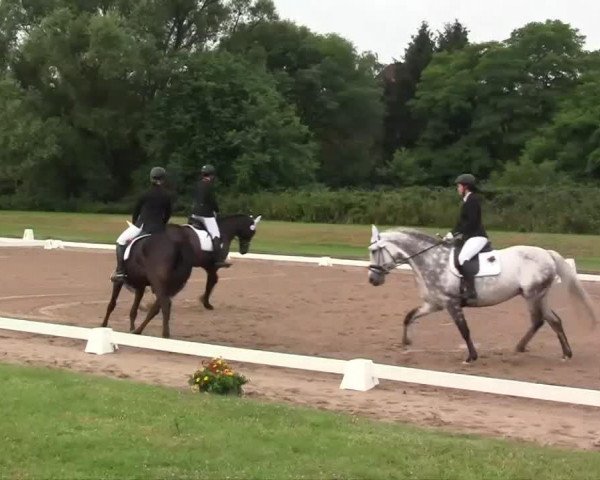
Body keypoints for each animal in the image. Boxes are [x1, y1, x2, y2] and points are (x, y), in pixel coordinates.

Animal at [368, 227, 596, 362]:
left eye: (374, 251)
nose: (373, 280)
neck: (431, 260)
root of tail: (546, 253)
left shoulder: (452, 304)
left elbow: (464, 330)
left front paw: (471, 356)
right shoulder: (434, 304)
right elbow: (409, 316)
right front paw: (406, 343)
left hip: (533, 295)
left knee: (539, 320)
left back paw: (521, 347)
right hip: (540, 296)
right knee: (553, 320)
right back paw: (565, 353)